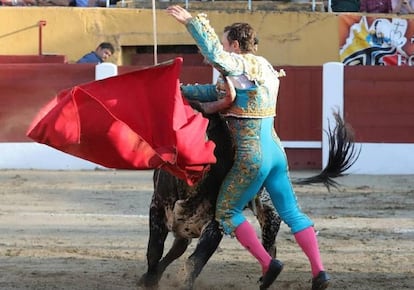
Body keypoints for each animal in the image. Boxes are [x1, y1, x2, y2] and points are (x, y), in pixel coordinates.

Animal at [137, 110, 358, 288]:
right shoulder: (157, 207)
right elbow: (154, 250)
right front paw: (149, 281)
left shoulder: (215, 224)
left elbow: (196, 260)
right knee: (177, 247)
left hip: (270, 214)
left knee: (271, 247)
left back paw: (268, 277)